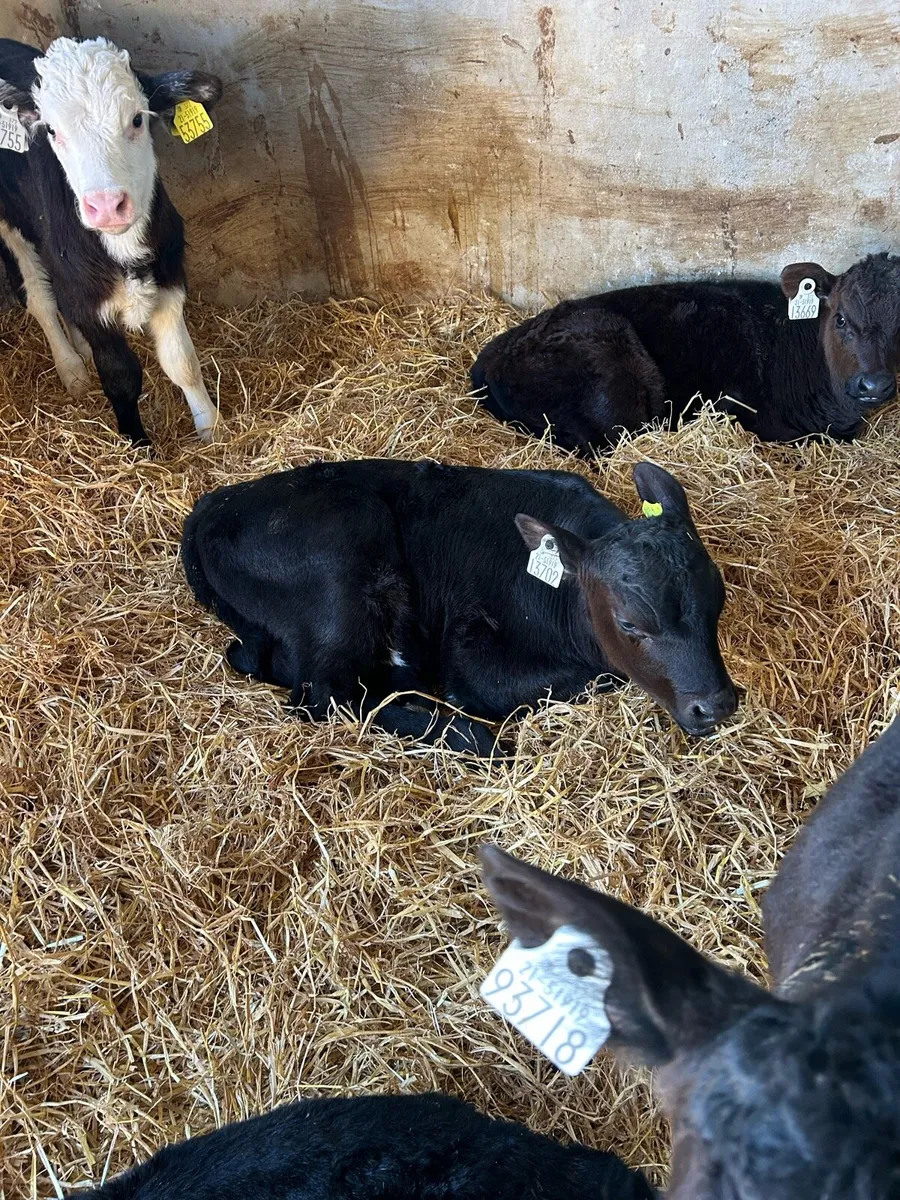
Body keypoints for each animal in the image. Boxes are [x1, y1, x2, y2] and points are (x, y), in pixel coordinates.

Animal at [0, 36, 223, 447]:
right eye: (51, 130)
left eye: (137, 119)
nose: (106, 206)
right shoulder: (87, 299)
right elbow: (121, 376)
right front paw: (138, 443)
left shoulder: (168, 272)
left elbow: (182, 362)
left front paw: (212, 429)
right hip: (10, 224)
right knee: (39, 296)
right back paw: (72, 368)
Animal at [181, 457, 738, 754]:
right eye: (629, 622)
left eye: (719, 601)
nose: (716, 704)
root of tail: (212, 503)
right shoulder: (472, 662)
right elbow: (589, 676)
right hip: (344, 548)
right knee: (327, 693)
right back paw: (470, 738)